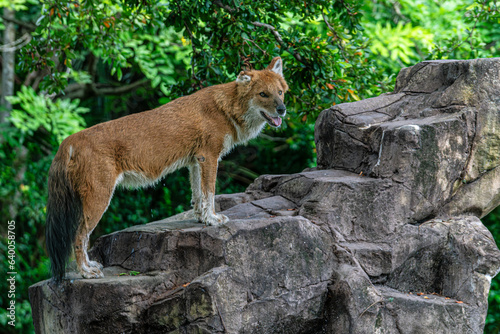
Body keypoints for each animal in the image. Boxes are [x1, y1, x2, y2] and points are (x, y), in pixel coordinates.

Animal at [47, 56, 290, 280]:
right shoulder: (210, 156)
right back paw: (86, 272)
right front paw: (213, 219)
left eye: (280, 92)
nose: (282, 109)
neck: (227, 108)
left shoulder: (196, 160)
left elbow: (198, 195)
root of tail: (69, 140)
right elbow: (210, 192)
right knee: (79, 237)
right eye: (263, 94)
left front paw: (202, 218)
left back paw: (91, 266)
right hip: (99, 198)